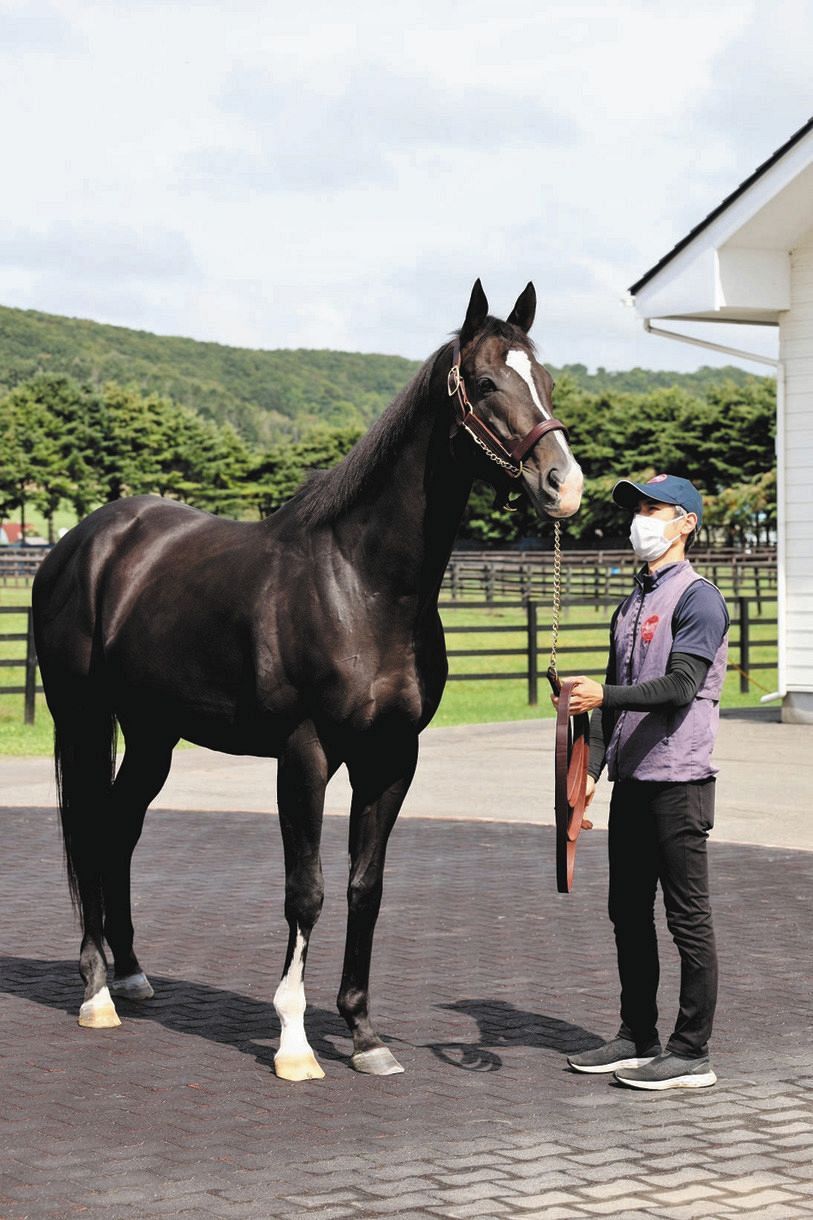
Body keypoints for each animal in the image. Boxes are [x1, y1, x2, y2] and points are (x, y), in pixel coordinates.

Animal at [33, 283, 583, 1078]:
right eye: (484, 383)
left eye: (546, 381)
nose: (563, 485)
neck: (362, 585)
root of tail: (81, 543)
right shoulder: (305, 754)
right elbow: (308, 892)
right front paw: (294, 1042)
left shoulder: (392, 759)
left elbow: (365, 888)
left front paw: (363, 1034)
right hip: (82, 719)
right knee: (85, 828)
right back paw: (97, 992)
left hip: (153, 735)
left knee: (118, 828)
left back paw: (131, 975)